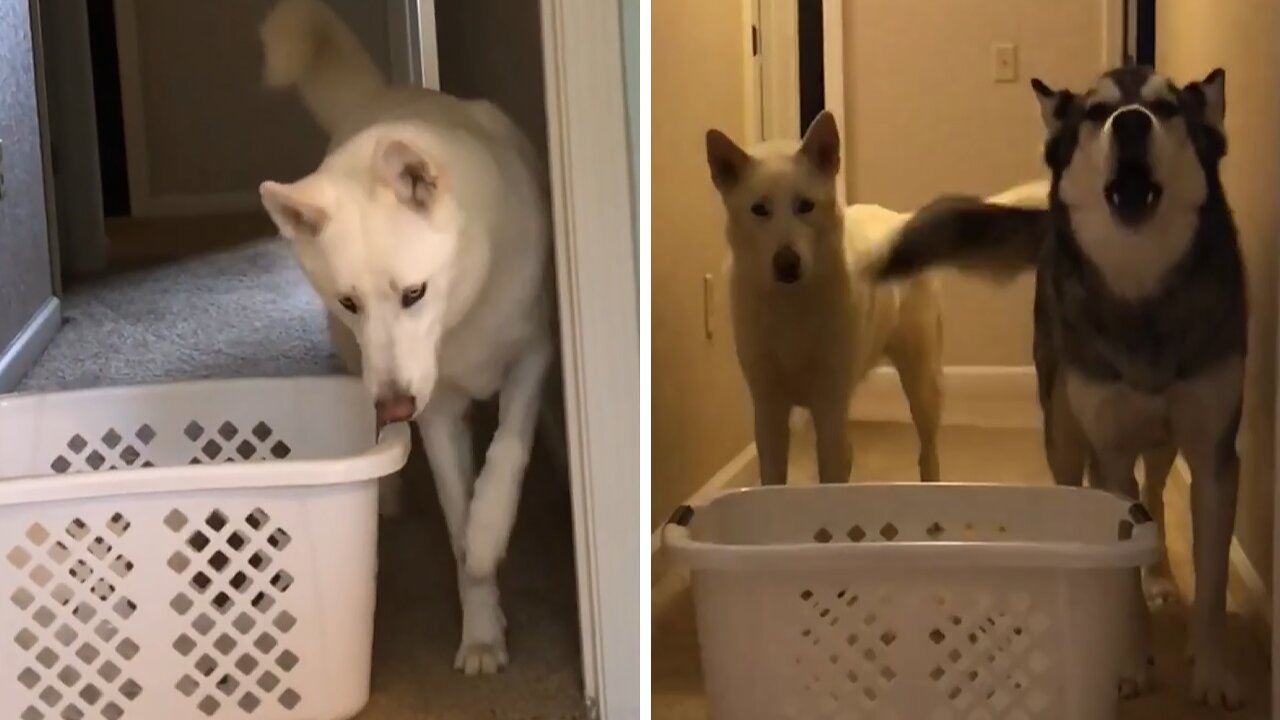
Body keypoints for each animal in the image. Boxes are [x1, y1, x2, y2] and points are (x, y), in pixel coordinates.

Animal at [257, 0, 547, 671]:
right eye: (350, 301)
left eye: (414, 293)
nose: (394, 406)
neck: (462, 312)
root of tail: (382, 96)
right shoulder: (434, 410)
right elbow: (455, 518)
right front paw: (481, 628)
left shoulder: (534, 352)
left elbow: (507, 452)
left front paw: (488, 533)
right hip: (354, 362)